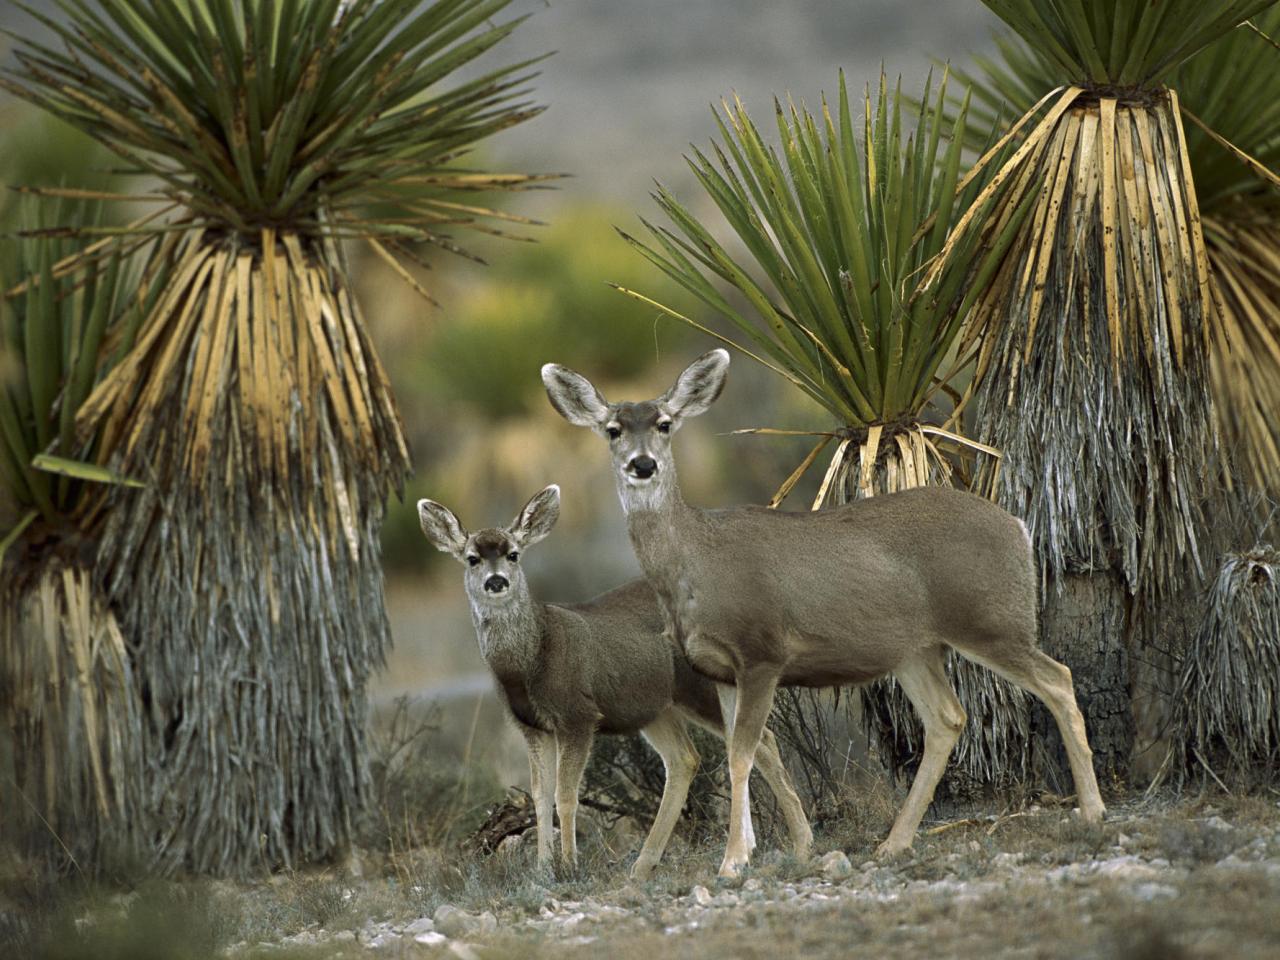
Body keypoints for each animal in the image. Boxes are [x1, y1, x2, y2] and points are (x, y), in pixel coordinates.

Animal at [417, 483, 808, 885]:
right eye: (472, 558)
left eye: (513, 554)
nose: (497, 582)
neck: (533, 657)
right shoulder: (531, 727)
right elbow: (539, 797)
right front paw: (542, 869)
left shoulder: (578, 714)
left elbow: (566, 795)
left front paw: (569, 866)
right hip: (655, 707)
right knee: (686, 757)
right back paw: (647, 863)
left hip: (699, 688)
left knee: (760, 739)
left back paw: (798, 843)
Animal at [545, 350, 1105, 880]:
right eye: (613, 429)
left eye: (664, 423)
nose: (642, 465)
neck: (696, 565)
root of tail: (1019, 527)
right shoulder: (719, 669)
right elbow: (748, 752)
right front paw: (762, 850)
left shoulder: (763, 651)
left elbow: (742, 754)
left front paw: (732, 860)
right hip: (915, 649)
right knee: (948, 718)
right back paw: (894, 842)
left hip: (990, 619)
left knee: (1057, 679)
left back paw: (1093, 811)